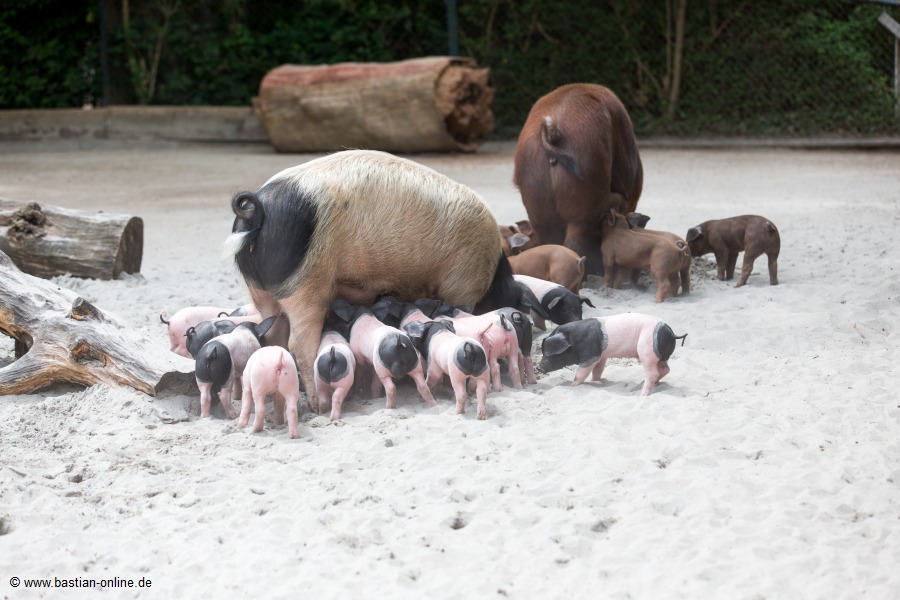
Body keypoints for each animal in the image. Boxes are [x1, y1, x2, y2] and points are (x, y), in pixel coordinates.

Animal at [224, 149, 525, 406]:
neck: (493, 275)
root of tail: (255, 209)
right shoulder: (462, 284)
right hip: (307, 282)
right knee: (299, 342)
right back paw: (317, 406)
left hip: (259, 290)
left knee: (273, 333)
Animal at [539, 314, 687, 396]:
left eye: (548, 354)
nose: (539, 367)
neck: (573, 340)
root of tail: (671, 333)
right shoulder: (601, 356)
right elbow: (597, 371)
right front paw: (595, 381)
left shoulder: (590, 356)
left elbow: (580, 373)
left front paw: (572, 385)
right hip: (660, 356)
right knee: (665, 369)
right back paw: (637, 388)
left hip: (647, 352)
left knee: (653, 373)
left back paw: (642, 395)